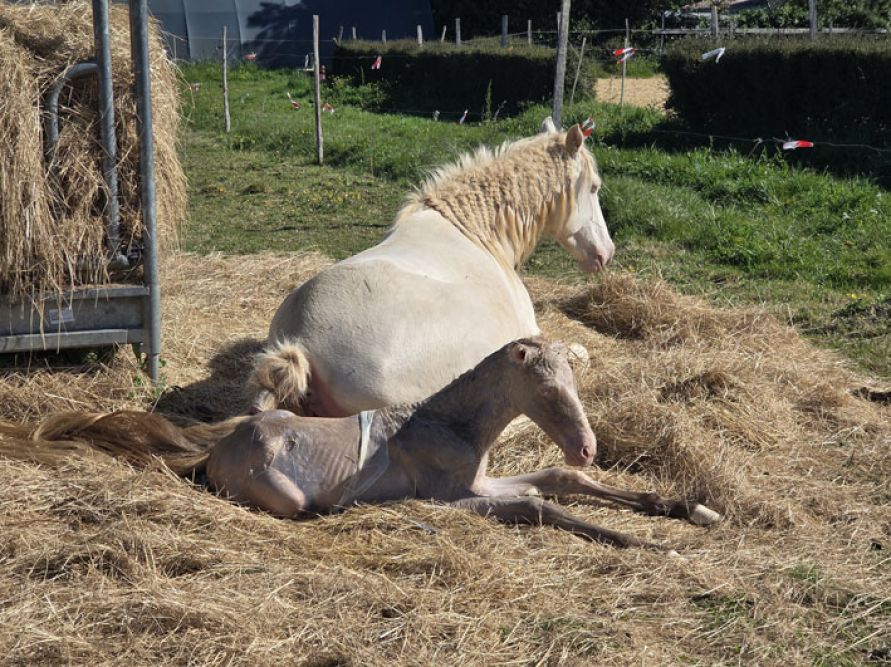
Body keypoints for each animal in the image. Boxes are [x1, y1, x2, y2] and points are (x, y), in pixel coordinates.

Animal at [12, 339, 719, 550]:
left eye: (576, 382)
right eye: (546, 392)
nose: (588, 447)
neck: (447, 425)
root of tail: (220, 444)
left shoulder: (481, 482)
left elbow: (556, 484)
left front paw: (689, 509)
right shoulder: (454, 497)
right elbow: (538, 506)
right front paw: (643, 541)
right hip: (286, 498)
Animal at [249, 118, 615, 418]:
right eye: (595, 187)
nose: (606, 253)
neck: (474, 231)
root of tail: (301, 344)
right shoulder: (532, 329)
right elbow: (579, 352)